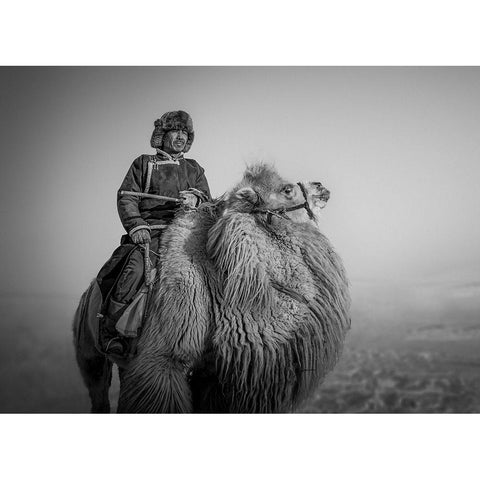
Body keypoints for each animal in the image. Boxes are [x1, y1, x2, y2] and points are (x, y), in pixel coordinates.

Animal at [74, 164, 352, 412]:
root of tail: (87, 295)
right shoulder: (162, 362)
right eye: (287, 190)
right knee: (98, 388)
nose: (320, 186)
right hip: (88, 350)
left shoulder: (215, 377)